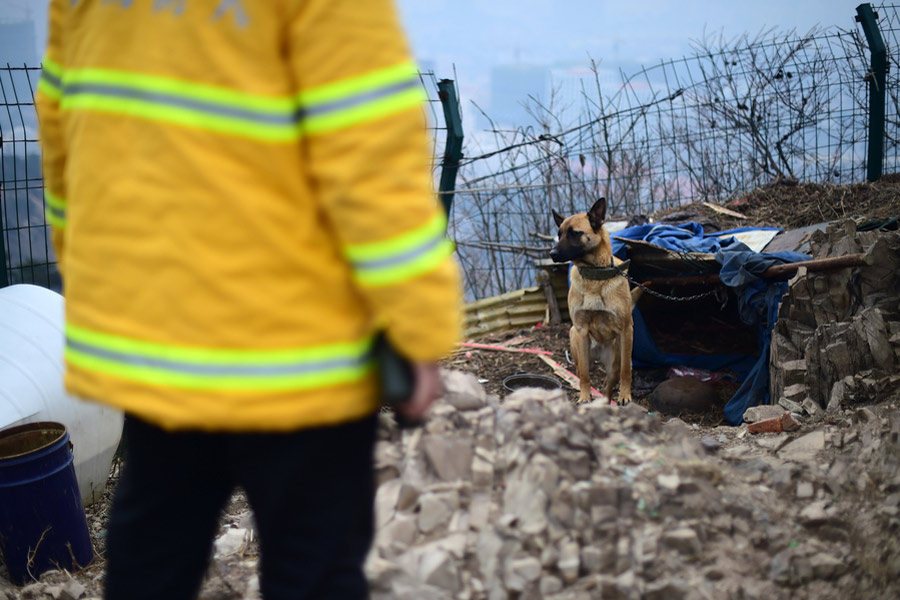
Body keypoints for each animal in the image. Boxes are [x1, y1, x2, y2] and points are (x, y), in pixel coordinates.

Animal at [548, 199, 640, 406]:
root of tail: (599, 351)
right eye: (559, 234)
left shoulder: (626, 329)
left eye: (574, 233)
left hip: (615, 360)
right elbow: (584, 377)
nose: (552, 253)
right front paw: (584, 397)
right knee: (584, 372)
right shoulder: (581, 330)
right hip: (577, 345)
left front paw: (625, 395)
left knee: (609, 385)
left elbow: (626, 371)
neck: (594, 277)